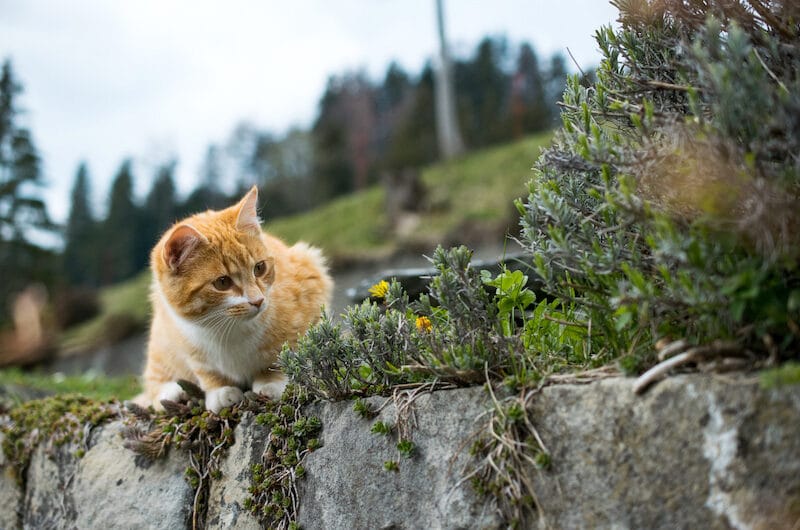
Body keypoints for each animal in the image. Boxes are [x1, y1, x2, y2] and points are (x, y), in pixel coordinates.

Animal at [134, 186, 332, 412]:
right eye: (222, 282)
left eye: (259, 268)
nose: (258, 301)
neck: (227, 327)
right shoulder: (187, 341)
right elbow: (205, 370)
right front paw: (220, 390)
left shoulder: (310, 288)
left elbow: (283, 352)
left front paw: (271, 381)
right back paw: (173, 392)